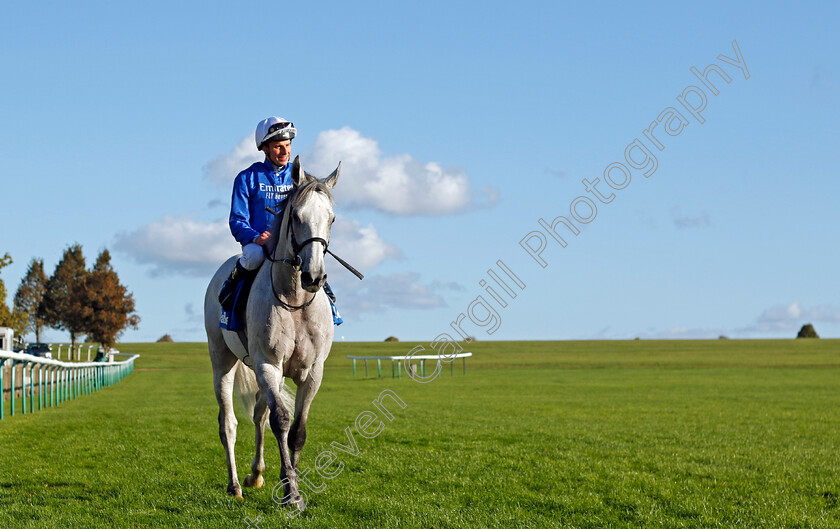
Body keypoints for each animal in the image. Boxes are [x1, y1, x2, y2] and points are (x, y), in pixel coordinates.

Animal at [205, 156, 340, 504]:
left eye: (331, 218)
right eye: (296, 216)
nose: (313, 277)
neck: (295, 301)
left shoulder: (313, 372)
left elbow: (297, 431)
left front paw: (290, 480)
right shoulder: (268, 364)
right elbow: (281, 421)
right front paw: (291, 492)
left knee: (258, 416)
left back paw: (256, 474)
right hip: (222, 361)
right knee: (228, 424)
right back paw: (235, 485)